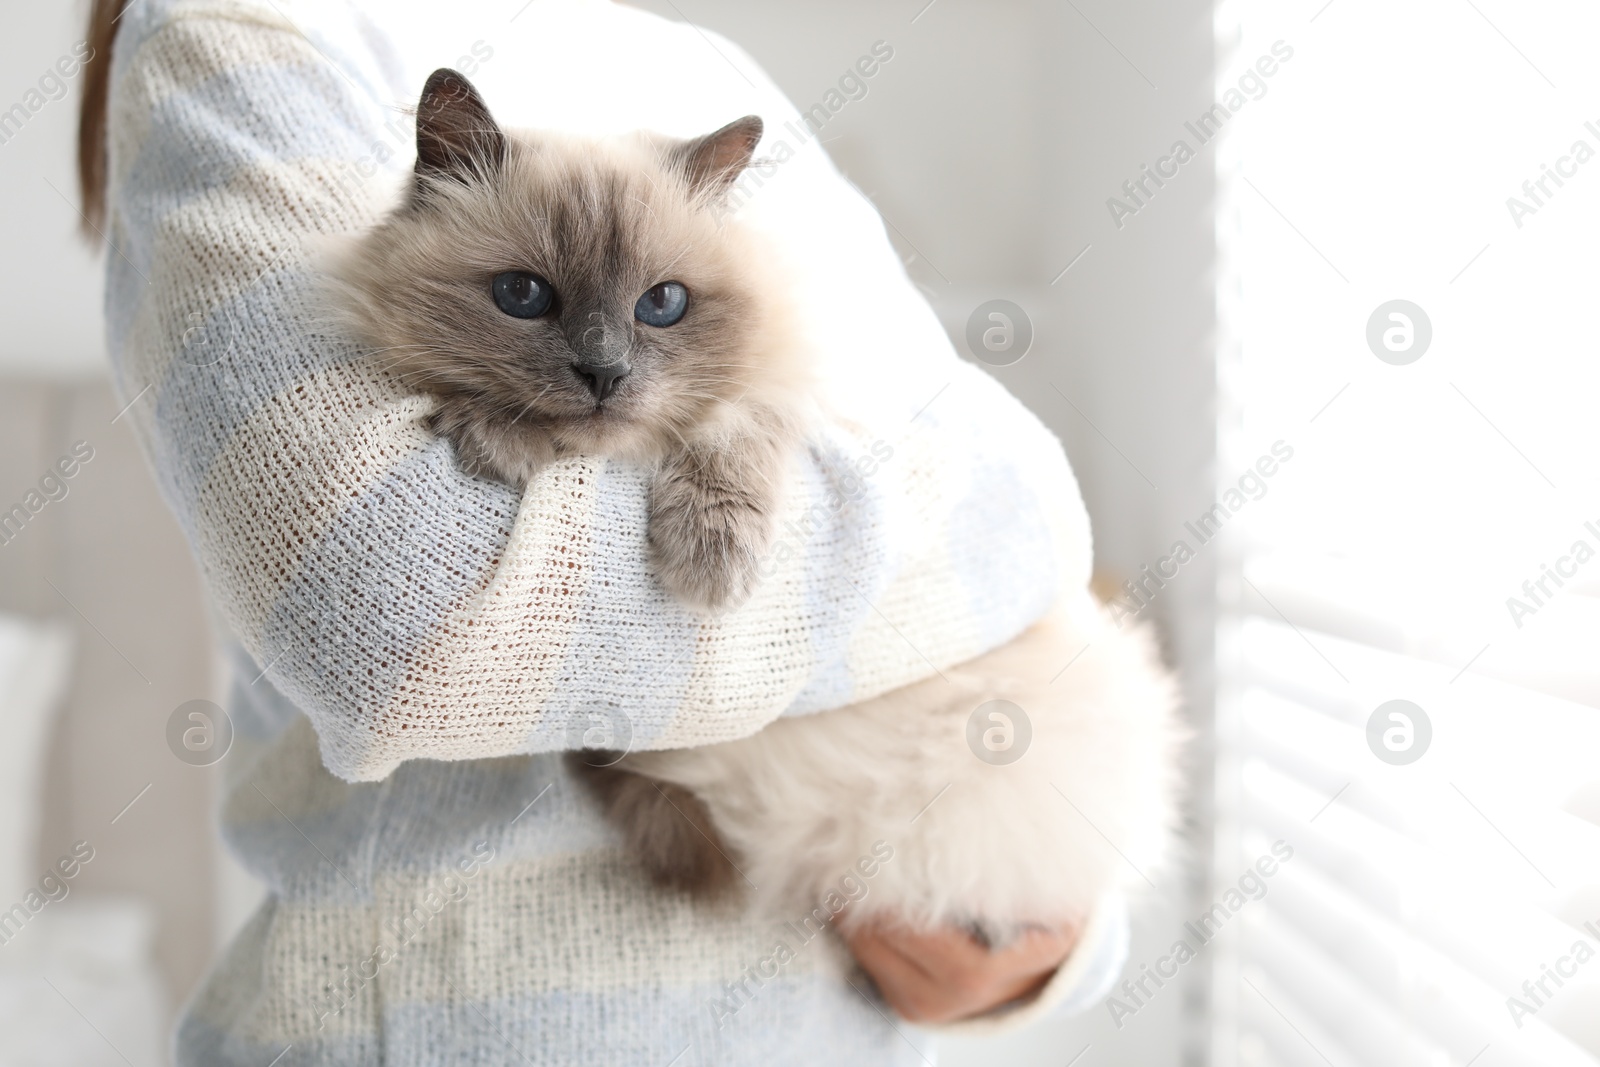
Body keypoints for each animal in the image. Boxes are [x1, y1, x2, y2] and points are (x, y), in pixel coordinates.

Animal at [324, 68, 1184, 940]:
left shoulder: (793, 399)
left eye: (662, 305)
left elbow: (730, 429)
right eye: (523, 295)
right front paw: (500, 434)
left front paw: (706, 564)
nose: (604, 373)